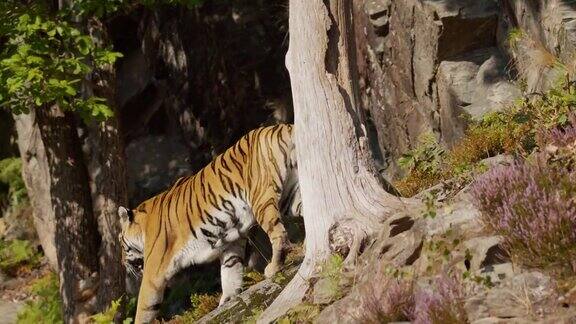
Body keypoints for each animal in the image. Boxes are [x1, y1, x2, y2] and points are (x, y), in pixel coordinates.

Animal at [120, 124, 304, 324]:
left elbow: (143, 307)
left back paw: (273, 268)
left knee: (279, 234)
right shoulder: (232, 240)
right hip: (290, 198)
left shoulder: (153, 274)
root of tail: (281, 127)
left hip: (262, 199)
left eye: (121, 243)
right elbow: (230, 270)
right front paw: (228, 299)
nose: (122, 263)